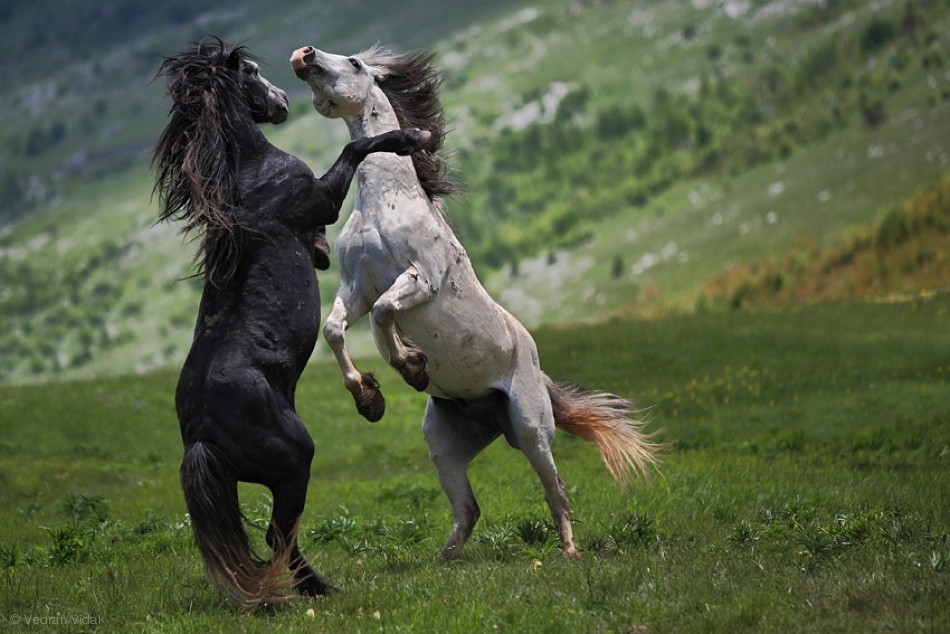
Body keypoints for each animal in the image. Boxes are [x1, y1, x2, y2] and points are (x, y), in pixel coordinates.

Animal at [152, 38, 429, 607]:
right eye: (255, 72)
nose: (280, 101)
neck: (250, 178)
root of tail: (201, 437)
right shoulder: (318, 197)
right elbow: (354, 153)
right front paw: (409, 138)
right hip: (295, 461)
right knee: (279, 534)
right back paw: (314, 589)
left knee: (278, 535)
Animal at [291, 45, 660, 560]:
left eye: (355, 63)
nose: (305, 56)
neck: (386, 203)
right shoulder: (356, 286)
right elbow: (335, 329)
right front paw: (369, 398)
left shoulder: (419, 279)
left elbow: (385, 315)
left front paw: (410, 366)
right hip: (443, 442)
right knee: (468, 508)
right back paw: (445, 560)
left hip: (531, 430)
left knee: (556, 490)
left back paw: (569, 552)